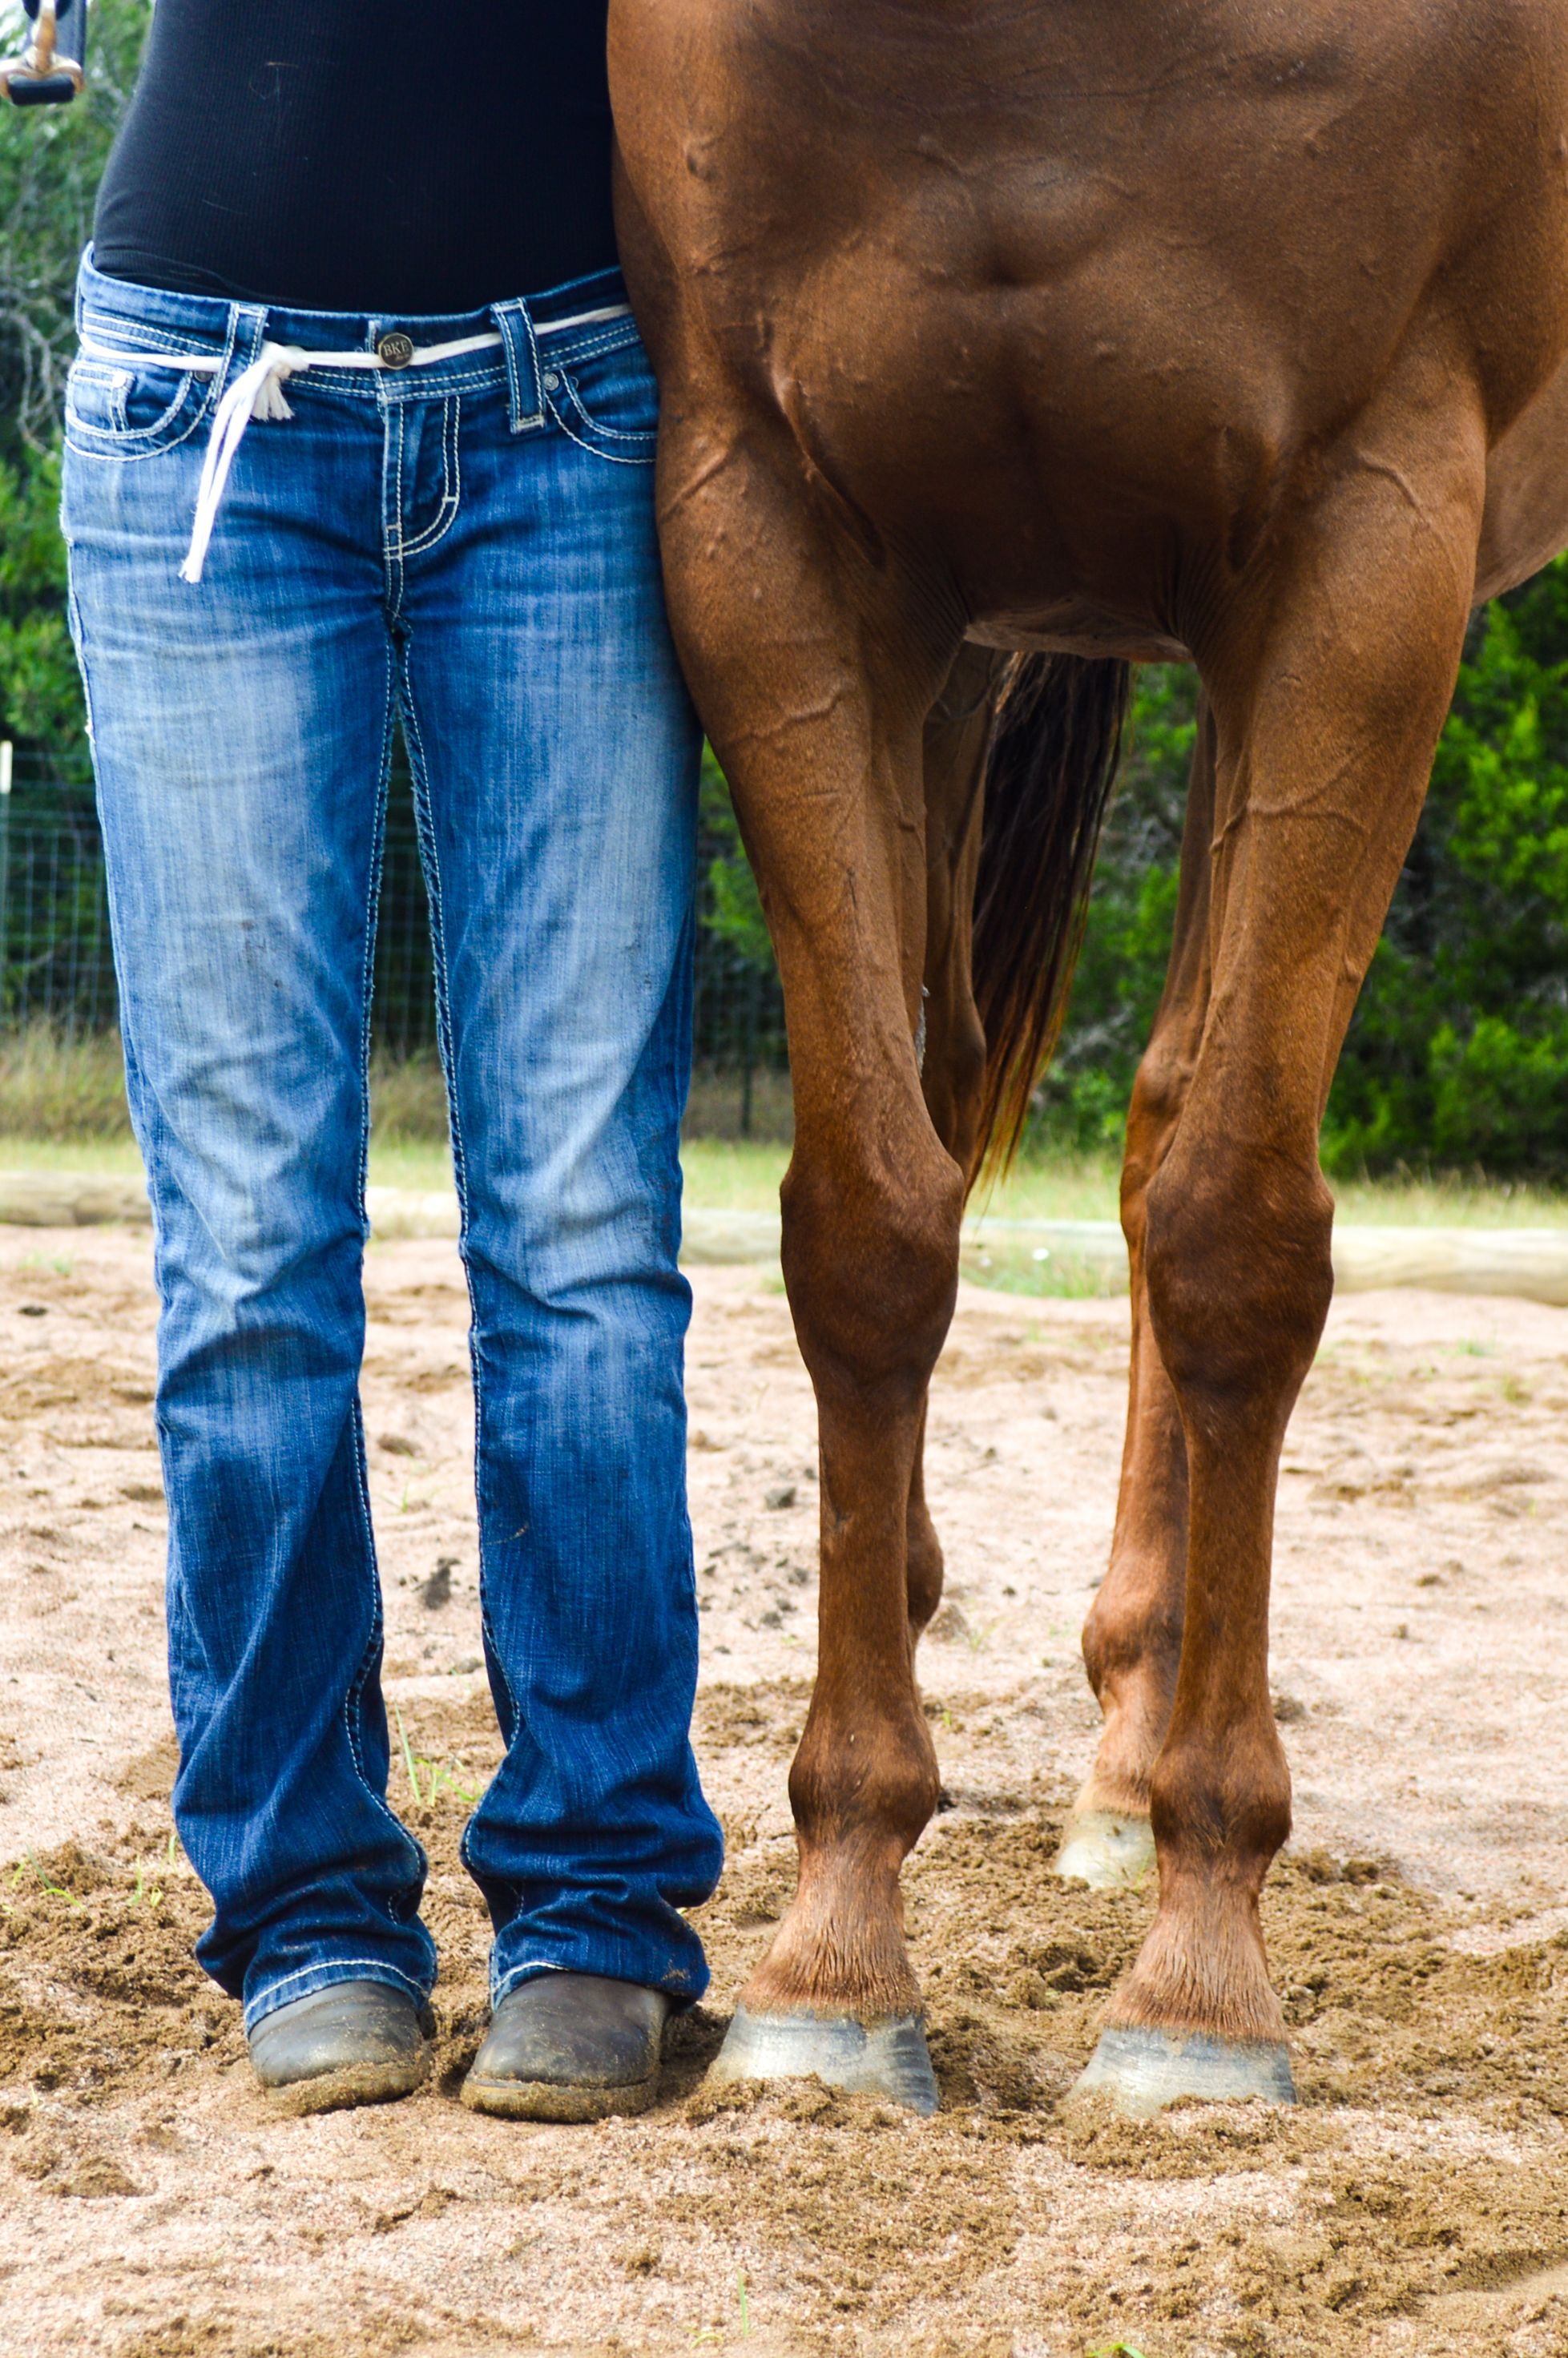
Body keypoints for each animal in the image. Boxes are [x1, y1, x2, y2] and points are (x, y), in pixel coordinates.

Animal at [608, 0, 1568, 2113]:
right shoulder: (766, 533)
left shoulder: (1369, 536)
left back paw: (1151, 1789)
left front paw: (1201, 1981)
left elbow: (1236, 1239)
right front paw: (833, 1949)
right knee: (1069, 1097)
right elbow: (869, 1225)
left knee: (1178, 1139)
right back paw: (1107, 1758)